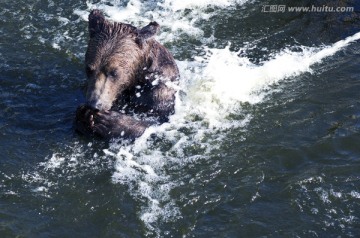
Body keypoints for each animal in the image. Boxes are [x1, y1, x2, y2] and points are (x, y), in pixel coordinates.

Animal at [75, 9, 179, 139]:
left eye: (114, 72)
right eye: (89, 69)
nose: (94, 104)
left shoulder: (159, 90)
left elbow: (156, 120)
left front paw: (108, 120)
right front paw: (84, 114)